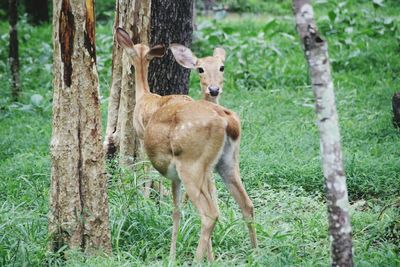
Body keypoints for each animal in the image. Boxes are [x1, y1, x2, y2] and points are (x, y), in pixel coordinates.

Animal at [115, 28, 256, 262]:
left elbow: (173, 208)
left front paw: (171, 256)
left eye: (129, 52)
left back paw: (198, 260)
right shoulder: (176, 175)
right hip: (227, 162)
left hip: (191, 164)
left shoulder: (148, 144)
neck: (145, 96)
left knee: (209, 213)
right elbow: (177, 209)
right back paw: (256, 254)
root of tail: (227, 121)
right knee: (246, 204)